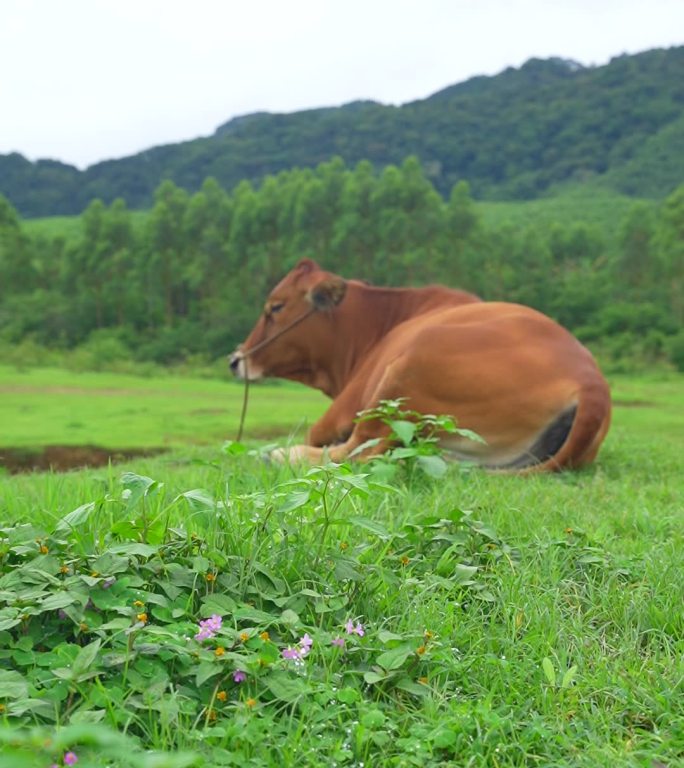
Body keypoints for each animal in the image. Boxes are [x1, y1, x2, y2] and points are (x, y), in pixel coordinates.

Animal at [230, 260, 608, 472]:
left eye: (276, 307)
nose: (236, 359)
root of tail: (592, 385)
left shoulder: (343, 409)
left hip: (405, 372)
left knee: (361, 452)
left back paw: (279, 455)